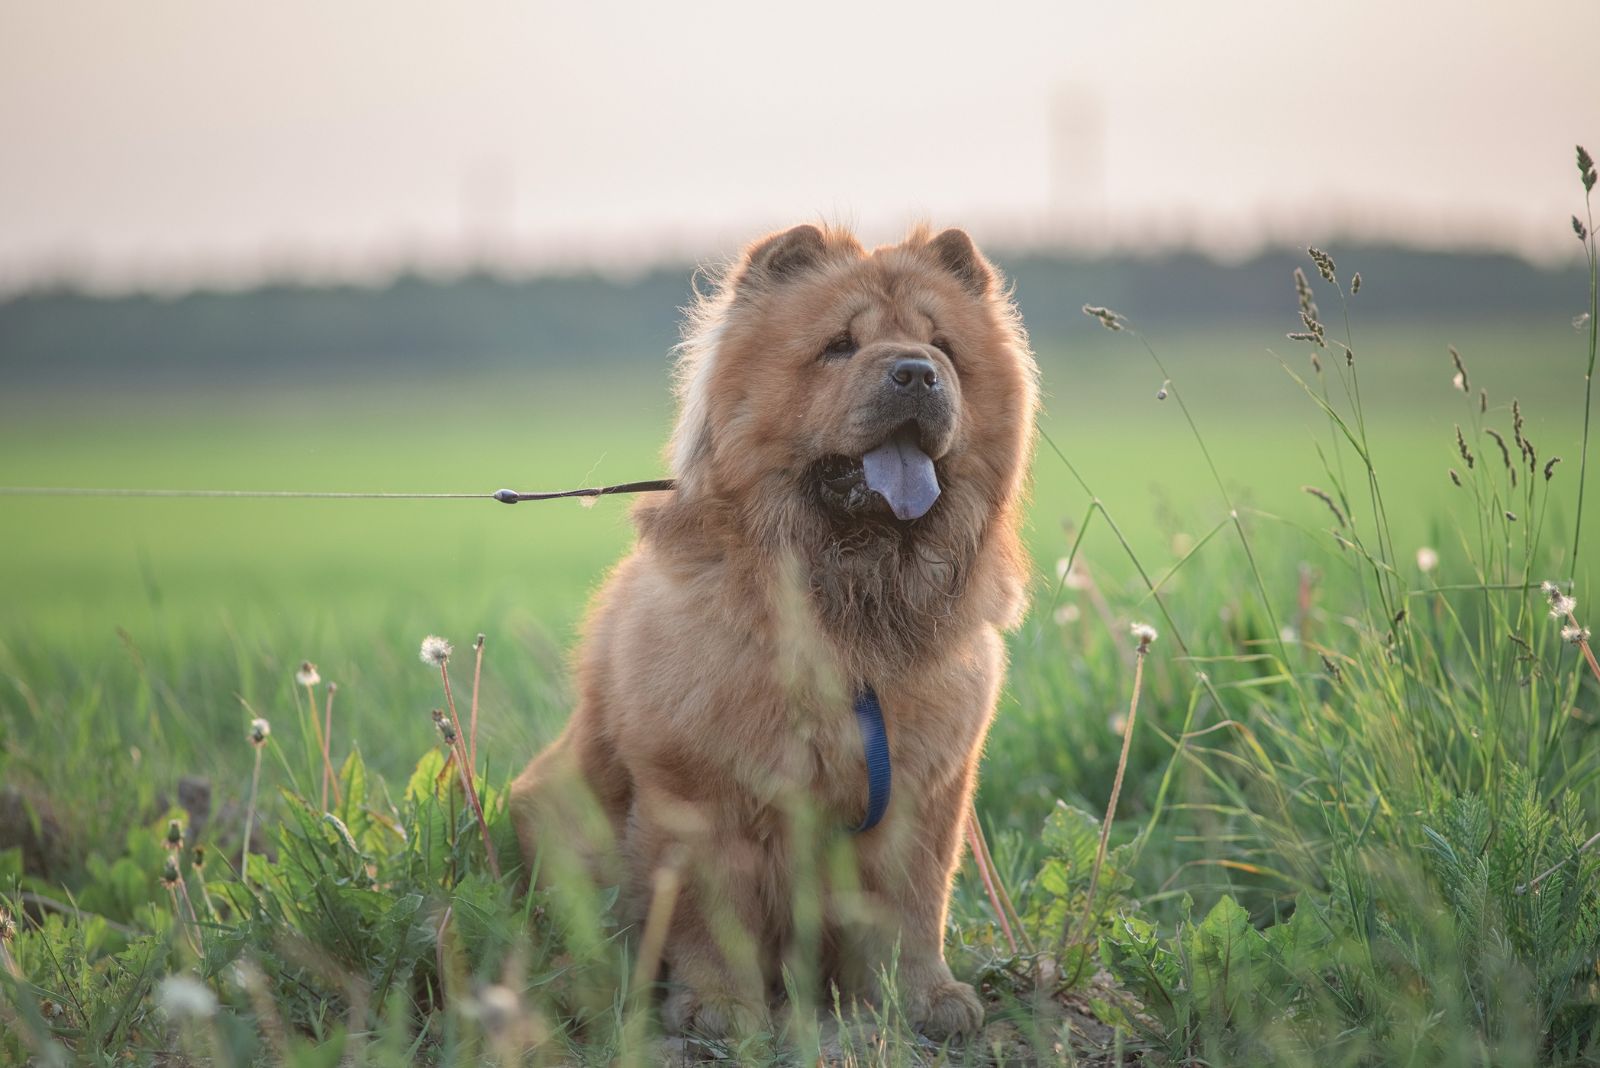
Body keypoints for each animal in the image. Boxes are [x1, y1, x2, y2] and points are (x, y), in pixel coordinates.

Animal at [508, 220, 1036, 1036]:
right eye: (840, 346)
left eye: (941, 345)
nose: (917, 374)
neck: (849, 605)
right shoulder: (701, 795)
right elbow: (710, 915)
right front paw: (722, 1010)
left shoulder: (924, 793)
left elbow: (916, 906)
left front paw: (927, 1000)